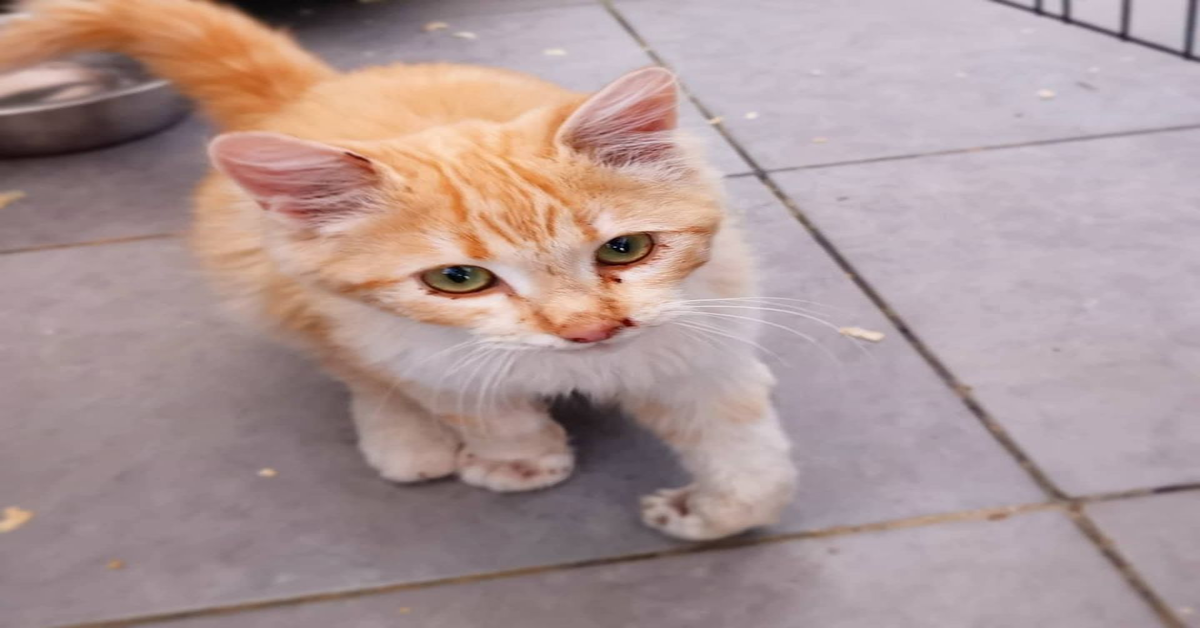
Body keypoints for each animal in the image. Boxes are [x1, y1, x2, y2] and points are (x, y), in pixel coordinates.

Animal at [9, 0, 801, 540]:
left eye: (624, 249)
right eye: (458, 280)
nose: (589, 331)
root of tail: (314, 92)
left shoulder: (703, 347)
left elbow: (751, 462)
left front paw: (709, 511)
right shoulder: (414, 347)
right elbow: (479, 405)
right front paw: (521, 461)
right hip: (264, 284)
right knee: (352, 371)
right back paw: (405, 439)